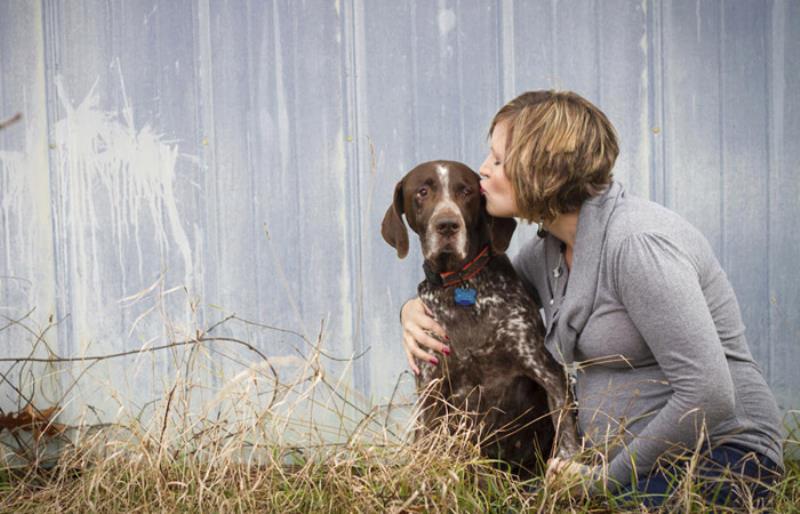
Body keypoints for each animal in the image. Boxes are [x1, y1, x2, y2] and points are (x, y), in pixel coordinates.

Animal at [382, 159, 580, 472]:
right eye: (423, 191)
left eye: (466, 192)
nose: (447, 224)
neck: (462, 286)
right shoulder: (431, 385)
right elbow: (425, 442)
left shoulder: (545, 368)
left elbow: (566, 427)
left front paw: (568, 466)